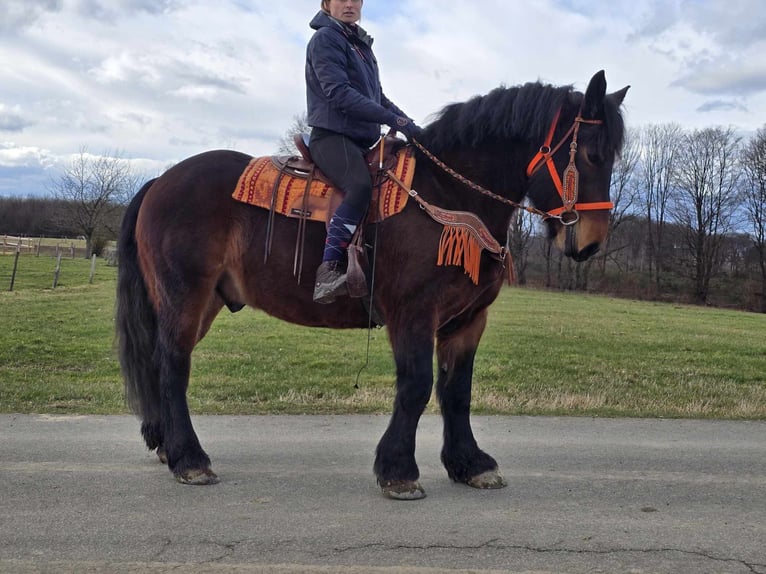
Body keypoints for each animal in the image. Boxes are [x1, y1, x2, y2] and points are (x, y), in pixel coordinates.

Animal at [115, 70, 632, 502]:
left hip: (204, 302)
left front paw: (469, 464)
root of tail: (161, 180)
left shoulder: (467, 321)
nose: (590, 242)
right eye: (591, 154)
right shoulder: (412, 314)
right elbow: (416, 386)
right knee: (173, 366)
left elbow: (457, 391)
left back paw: (168, 447)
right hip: (185, 296)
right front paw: (398, 470)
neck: (447, 194)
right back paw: (189, 459)